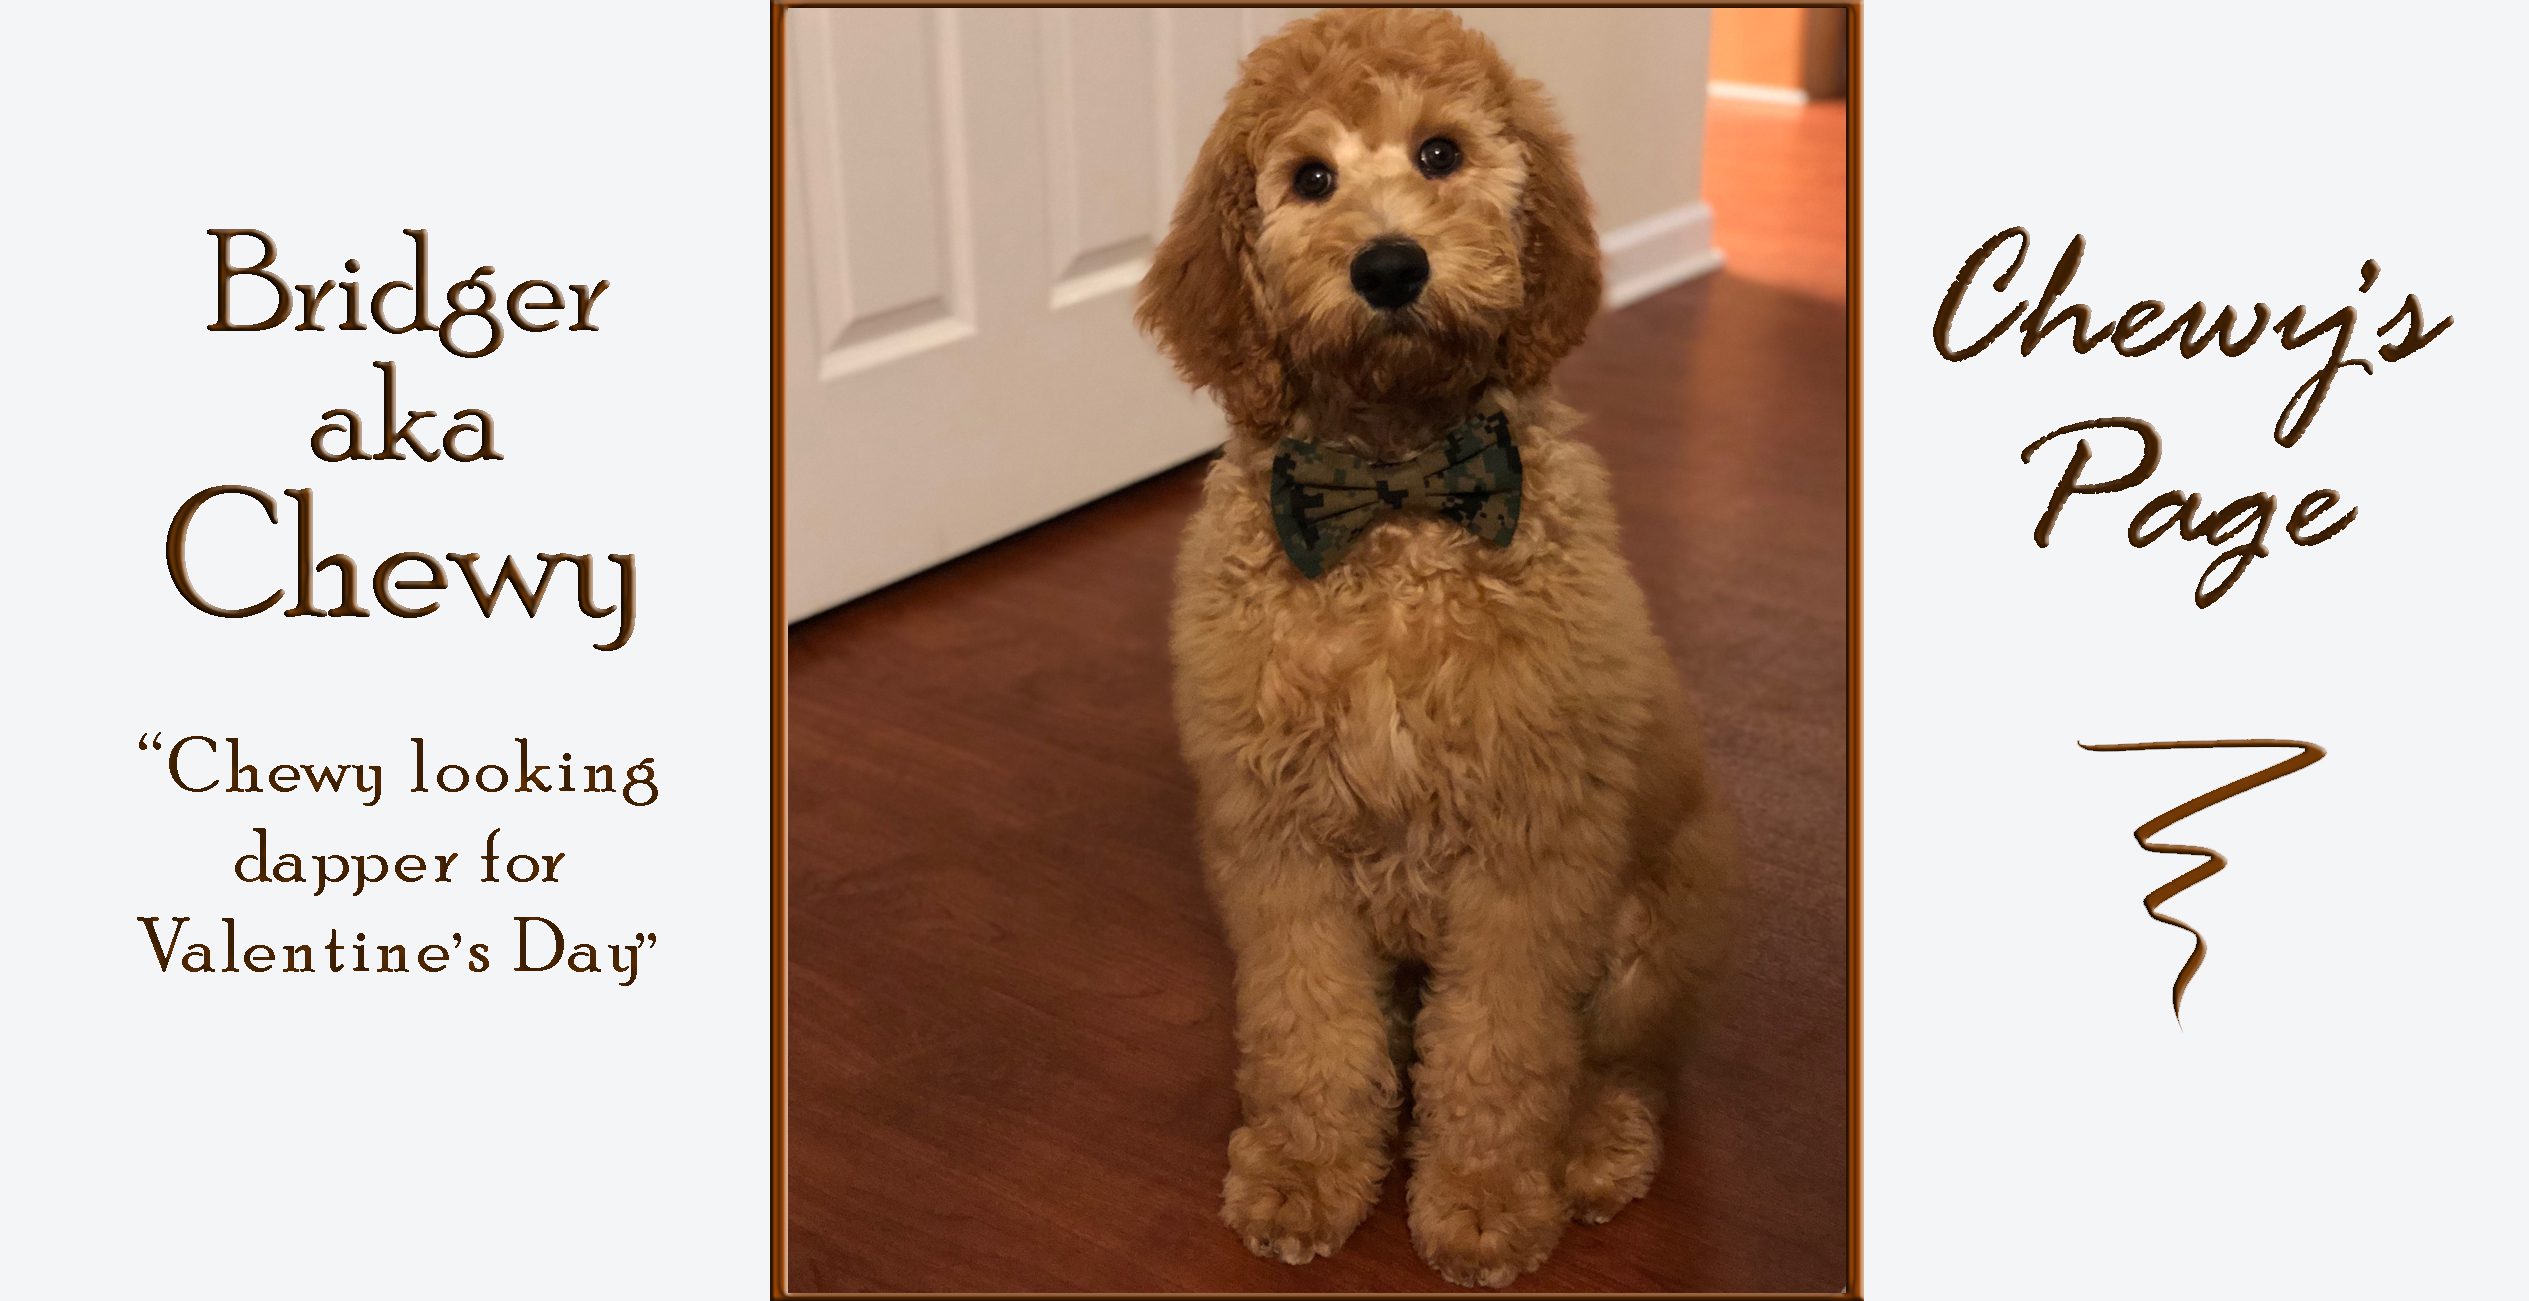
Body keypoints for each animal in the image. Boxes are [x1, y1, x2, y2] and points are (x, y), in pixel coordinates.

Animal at [1135, 9, 1735, 1289]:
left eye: (1443, 153)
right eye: (1310, 178)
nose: (1390, 267)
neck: (1395, 500)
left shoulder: (1529, 847)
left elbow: (1501, 1047)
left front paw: (1487, 1200)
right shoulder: (1281, 844)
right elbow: (1308, 1027)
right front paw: (1307, 1172)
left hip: (1652, 929)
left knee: (1623, 1063)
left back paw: (1594, 1144)